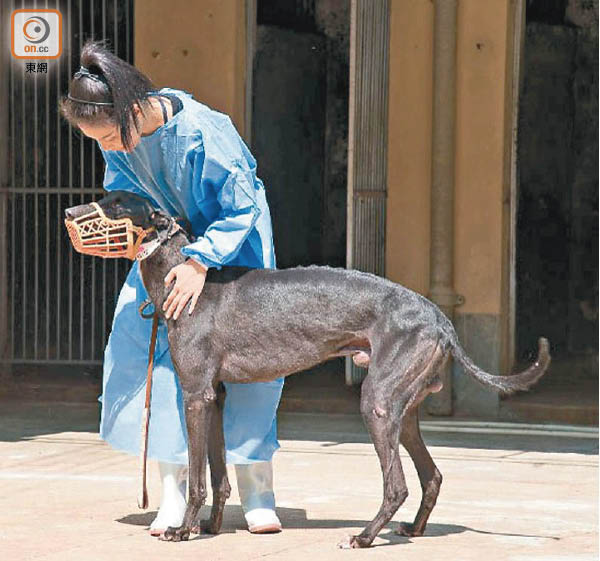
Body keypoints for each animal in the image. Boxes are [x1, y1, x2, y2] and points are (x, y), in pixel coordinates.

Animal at [64, 191, 548, 548]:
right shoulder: (215, 396)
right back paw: (412, 529)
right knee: (432, 475)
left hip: (377, 405)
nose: (68, 212)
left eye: (118, 205)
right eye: (104, 197)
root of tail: (439, 318)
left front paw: (184, 530)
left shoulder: (195, 394)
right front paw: (211, 527)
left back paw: (364, 537)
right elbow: (219, 474)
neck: (183, 273)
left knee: (397, 484)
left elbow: (200, 475)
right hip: (404, 410)